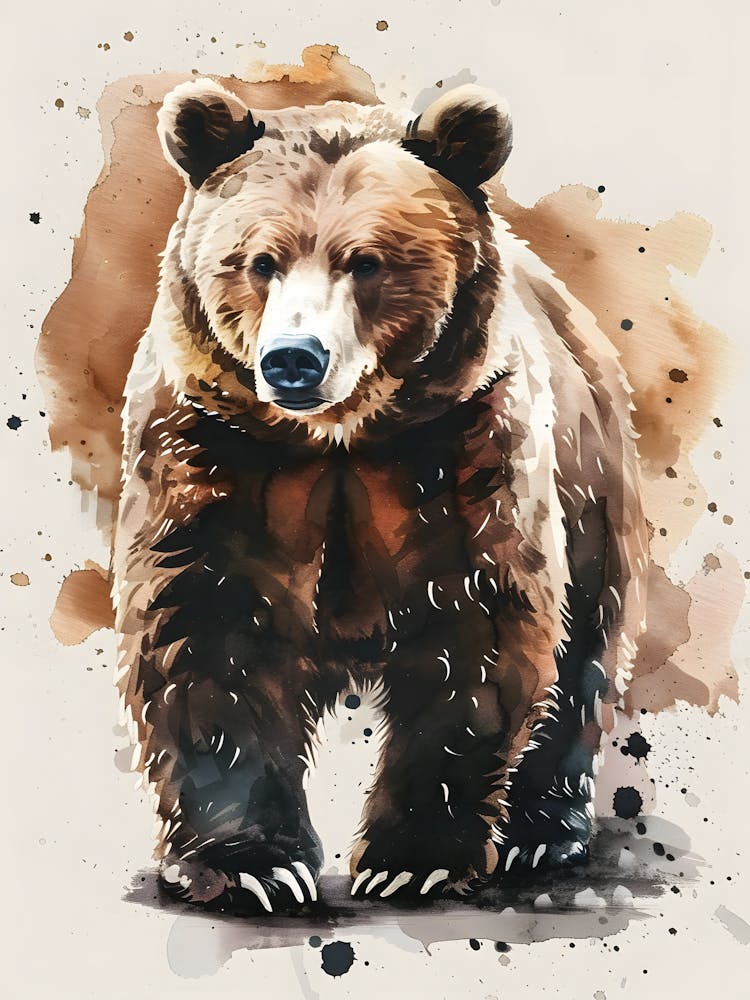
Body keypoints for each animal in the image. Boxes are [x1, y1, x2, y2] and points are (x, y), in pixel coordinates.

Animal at [113, 77, 649, 910]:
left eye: (365, 261)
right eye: (259, 260)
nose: (294, 358)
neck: (338, 441)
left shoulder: (463, 452)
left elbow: (479, 637)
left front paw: (410, 859)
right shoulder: (213, 452)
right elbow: (201, 631)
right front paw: (252, 866)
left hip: (591, 476)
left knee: (584, 652)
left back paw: (541, 835)